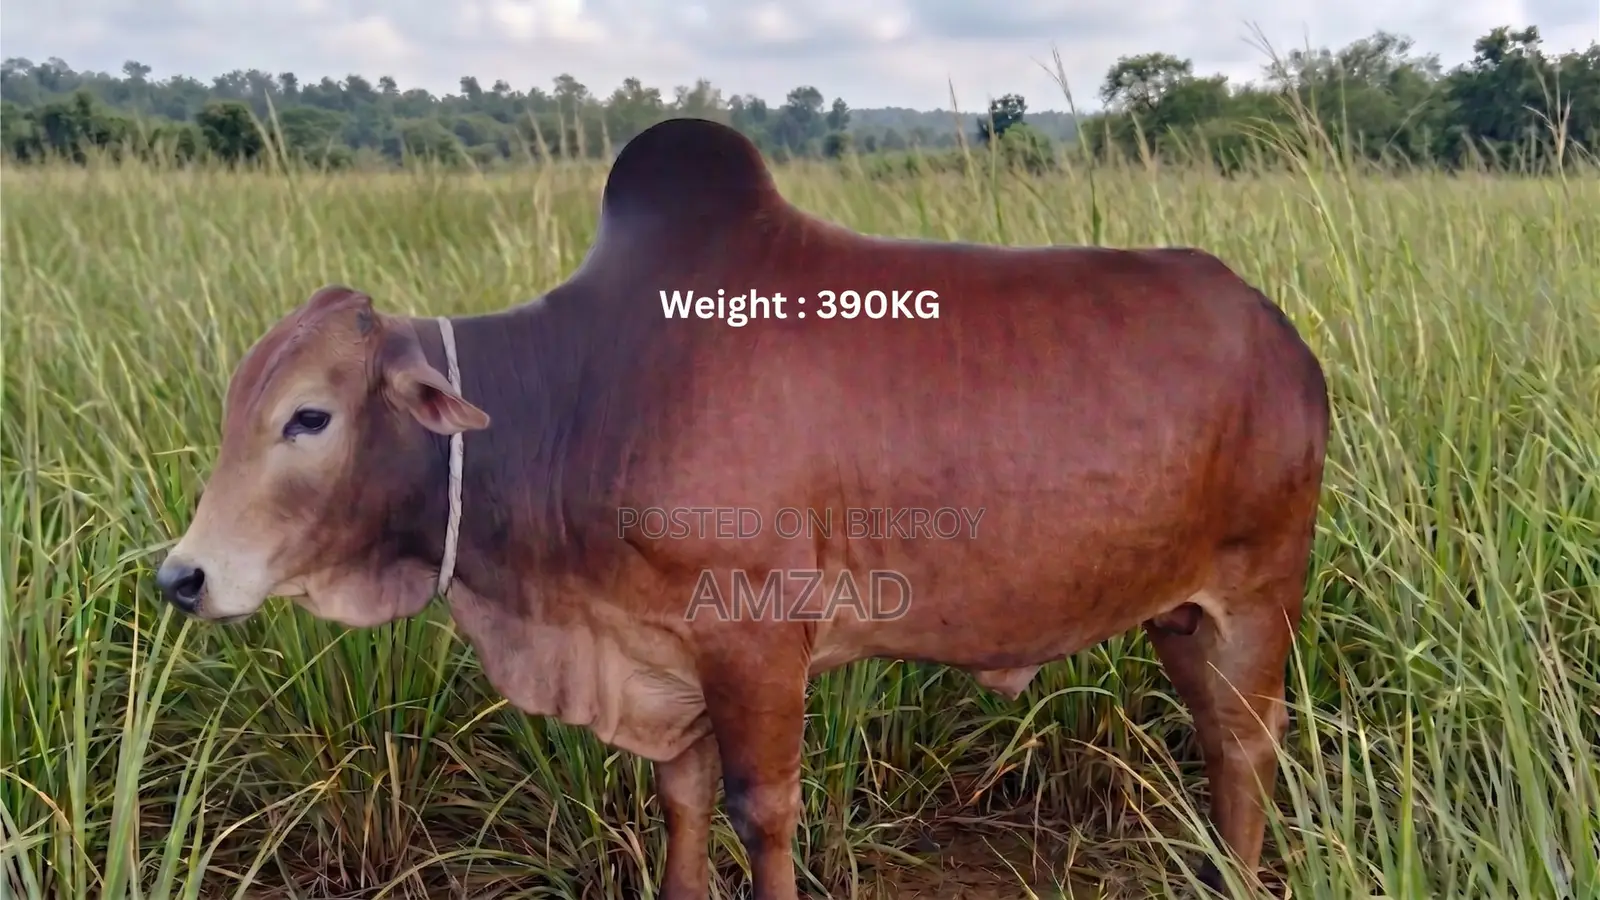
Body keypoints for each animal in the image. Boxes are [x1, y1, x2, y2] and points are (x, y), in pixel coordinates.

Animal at [156, 117, 1330, 899]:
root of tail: (1279, 334)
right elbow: (680, 804)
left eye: (308, 418)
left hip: (1257, 595)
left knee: (1244, 748)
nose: (184, 575)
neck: (582, 399)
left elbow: (761, 814)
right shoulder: (663, 652)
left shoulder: (756, 640)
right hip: (1178, 614)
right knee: (1217, 741)